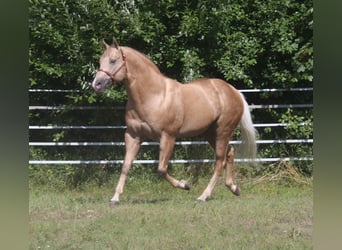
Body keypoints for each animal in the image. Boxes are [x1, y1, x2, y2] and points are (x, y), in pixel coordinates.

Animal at [91, 38, 256, 204]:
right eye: (100, 61)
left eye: (113, 60)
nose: (96, 84)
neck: (153, 95)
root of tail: (233, 91)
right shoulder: (133, 136)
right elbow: (125, 166)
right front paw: (115, 198)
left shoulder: (168, 137)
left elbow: (161, 169)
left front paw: (185, 185)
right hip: (210, 133)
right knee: (230, 153)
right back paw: (234, 188)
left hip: (223, 132)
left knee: (219, 161)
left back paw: (204, 196)